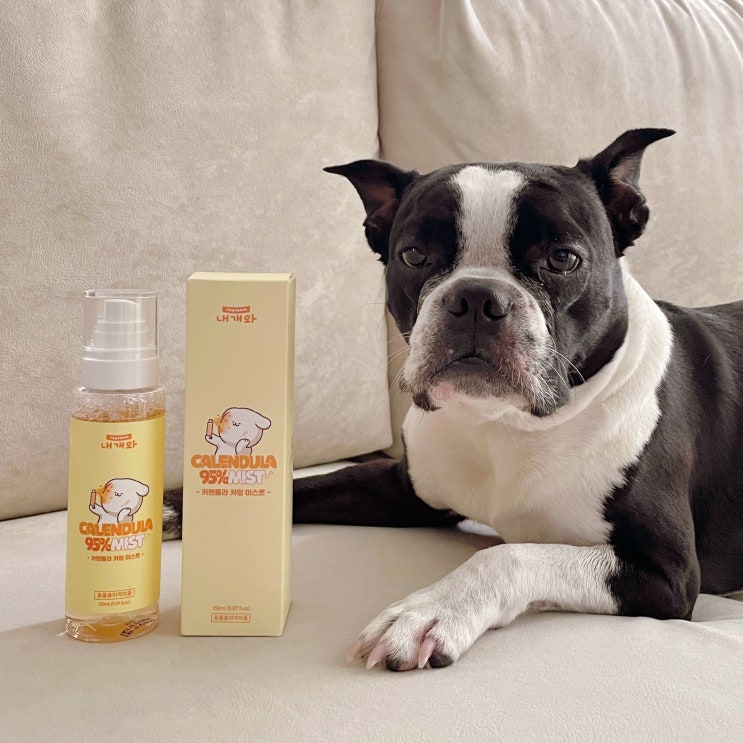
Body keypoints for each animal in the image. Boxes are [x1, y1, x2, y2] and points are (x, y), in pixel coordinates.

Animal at [289, 129, 743, 671]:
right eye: (414, 255)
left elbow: (510, 553)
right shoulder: (402, 488)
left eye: (563, 259)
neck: (501, 423)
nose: (476, 297)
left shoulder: (667, 576)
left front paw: (430, 612)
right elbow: (300, 489)